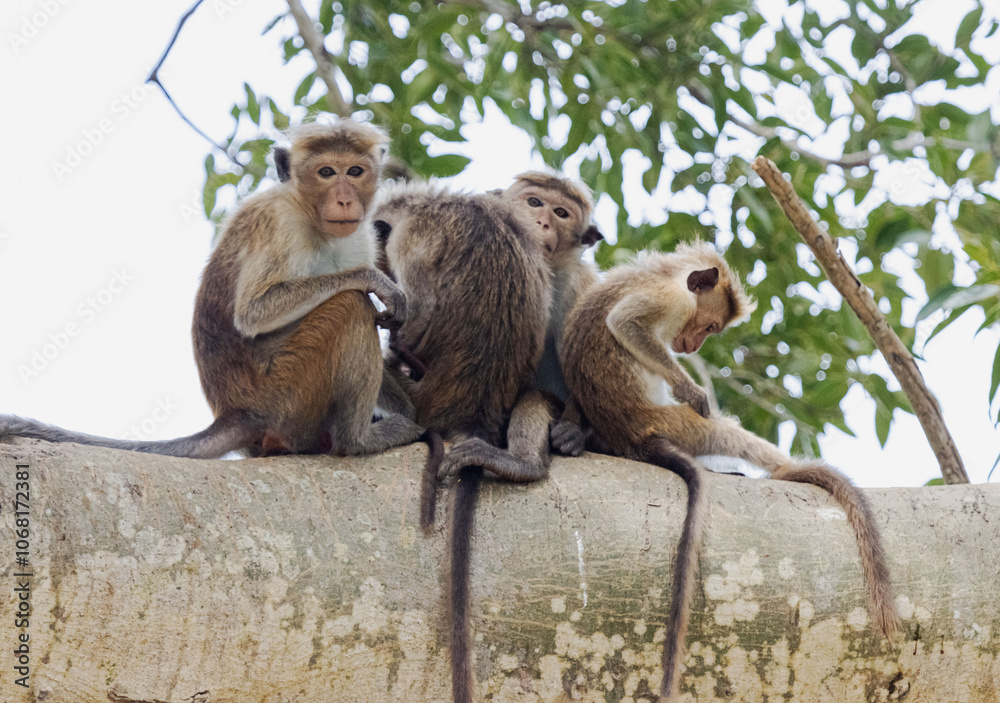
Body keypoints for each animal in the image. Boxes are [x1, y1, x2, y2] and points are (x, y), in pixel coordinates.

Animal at [0, 119, 426, 460]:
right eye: (326, 172)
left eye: (354, 171)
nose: (344, 199)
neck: (310, 214)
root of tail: (236, 414)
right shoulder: (279, 223)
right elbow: (255, 312)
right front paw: (377, 283)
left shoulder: (360, 234)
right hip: (285, 395)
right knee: (349, 304)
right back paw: (356, 440)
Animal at [559, 240, 901, 700]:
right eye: (710, 325)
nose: (693, 347)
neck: (666, 273)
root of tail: (631, 435)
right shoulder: (671, 301)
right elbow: (625, 323)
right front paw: (690, 387)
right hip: (676, 424)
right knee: (721, 430)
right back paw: (785, 470)